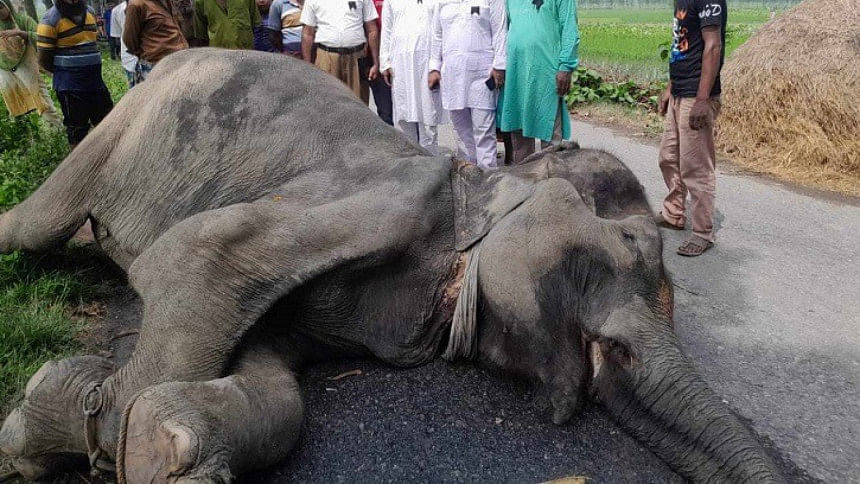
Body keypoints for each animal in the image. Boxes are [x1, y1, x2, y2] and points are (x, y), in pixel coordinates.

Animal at [0, 50, 780, 484]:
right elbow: (193, 253)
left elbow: (276, 374)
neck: (482, 186)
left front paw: (163, 443)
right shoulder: (382, 199)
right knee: (30, 228)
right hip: (119, 125)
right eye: (618, 251)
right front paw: (63, 426)